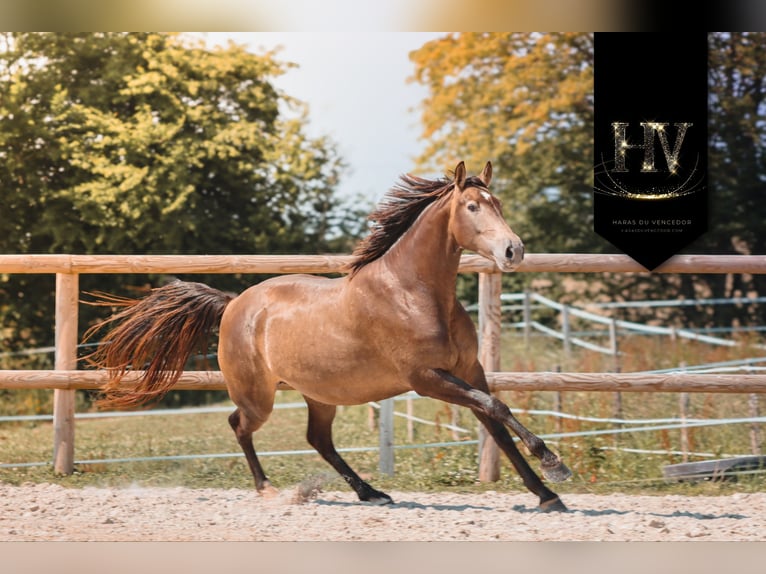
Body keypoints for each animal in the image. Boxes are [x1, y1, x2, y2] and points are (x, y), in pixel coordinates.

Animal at [85, 161, 571, 512]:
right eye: (472, 207)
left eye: (498, 202)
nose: (513, 250)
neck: (412, 291)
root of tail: (234, 304)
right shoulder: (426, 378)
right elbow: (497, 408)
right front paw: (554, 465)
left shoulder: (469, 369)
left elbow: (496, 423)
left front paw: (547, 494)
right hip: (258, 397)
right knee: (239, 426)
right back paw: (269, 489)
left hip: (320, 394)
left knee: (318, 440)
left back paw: (371, 492)